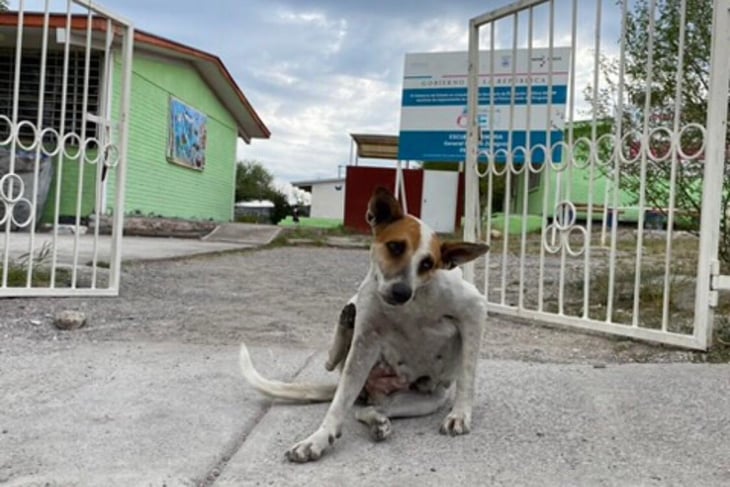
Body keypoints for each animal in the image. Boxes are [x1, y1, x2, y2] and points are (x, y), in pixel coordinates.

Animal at [240, 188, 490, 466]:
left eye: (427, 264)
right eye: (395, 246)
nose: (401, 292)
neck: (412, 305)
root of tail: (371, 394)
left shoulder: (474, 311)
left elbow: (467, 376)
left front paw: (460, 415)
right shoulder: (365, 343)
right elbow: (338, 406)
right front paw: (318, 439)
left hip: (424, 401)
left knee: (368, 410)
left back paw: (379, 420)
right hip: (355, 328)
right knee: (333, 365)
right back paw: (347, 323)